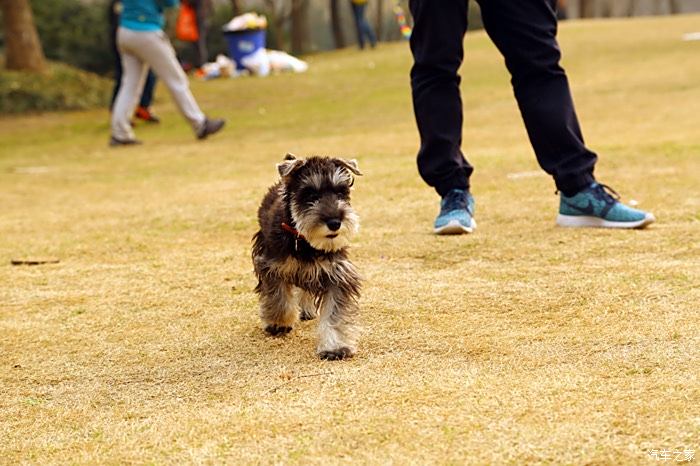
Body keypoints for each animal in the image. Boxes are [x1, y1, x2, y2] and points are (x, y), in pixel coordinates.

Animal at [252, 153, 360, 360]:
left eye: (341, 193)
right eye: (311, 195)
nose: (335, 222)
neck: (304, 241)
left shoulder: (336, 274)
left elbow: (334, 312)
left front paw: (335, 347)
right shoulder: (271, 265)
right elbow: (278, 297)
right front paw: (278, 323)